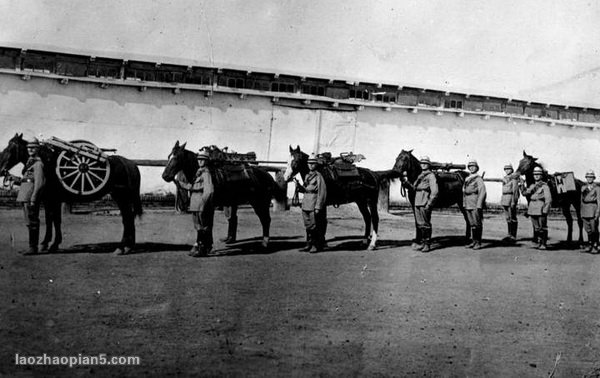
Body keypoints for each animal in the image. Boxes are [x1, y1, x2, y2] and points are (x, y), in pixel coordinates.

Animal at [0, 133, 143, 254]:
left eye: (11, 147)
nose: (1, 170)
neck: (49, 164)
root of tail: (129, 163)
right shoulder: (49, 199)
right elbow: (51, 219)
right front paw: (48, 243)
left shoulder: (53, 200)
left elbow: (54, 220)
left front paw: (51, 244)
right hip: (121, 197)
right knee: (129, 218)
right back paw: (128, 247)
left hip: (122, 197)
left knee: (127, 218)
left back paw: (122, 247)